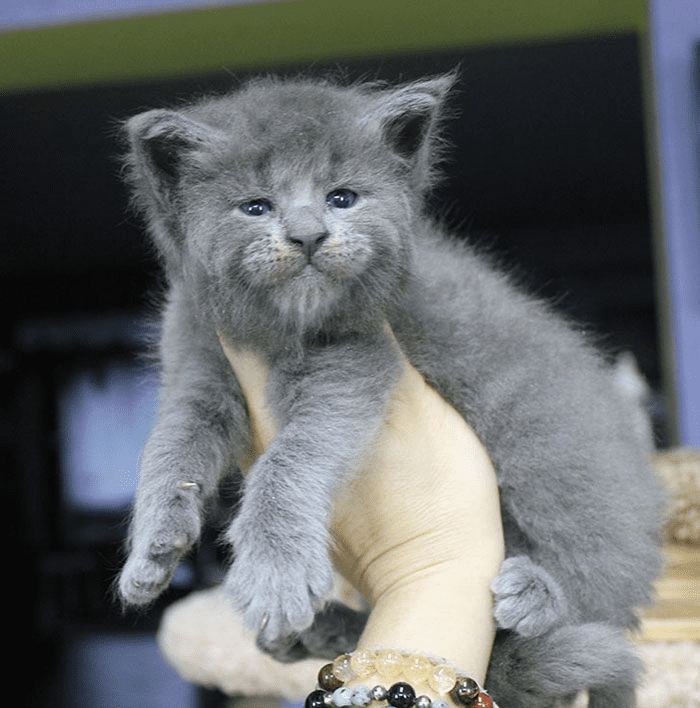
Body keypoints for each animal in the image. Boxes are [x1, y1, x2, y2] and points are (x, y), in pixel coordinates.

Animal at [117, 73, 664, 708]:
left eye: (342, 198)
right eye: (255, 206)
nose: (308, 235)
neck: (275, 332)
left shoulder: (355, 366)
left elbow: (289, 460)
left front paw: (275, 572)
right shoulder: (198, 366)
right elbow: (170, 444)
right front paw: (151, 549)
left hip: (557, 464)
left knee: (599, 577)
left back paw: (537, 592)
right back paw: (322, 633)